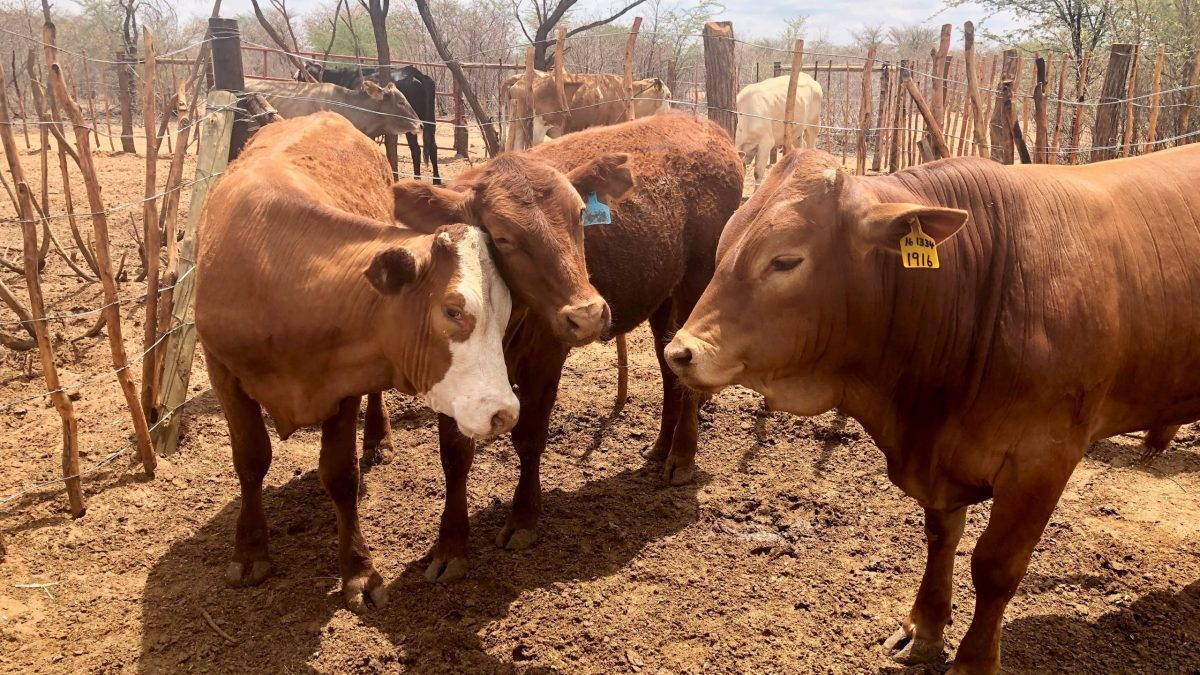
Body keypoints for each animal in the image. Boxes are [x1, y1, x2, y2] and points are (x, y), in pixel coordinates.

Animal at [195, 112, 519, 612]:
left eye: (505, 310)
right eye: (452, 310)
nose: (505, 412)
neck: (277, 279)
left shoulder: (342, 378)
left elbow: (340, 474)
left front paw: (358, 571)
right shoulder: (222, 370)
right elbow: (250, 459)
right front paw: (249, 552)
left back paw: (378, 439)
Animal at [299, 62, 442, 184]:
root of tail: (414, 72)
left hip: (412, 125)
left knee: (416, 150)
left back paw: (417, 179)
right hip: (430, 121)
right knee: (433, 147)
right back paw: (436, 179)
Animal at [390, 111, 743, 581]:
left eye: (579, 216)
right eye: (501, 237)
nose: (588, 314)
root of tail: (702, 124)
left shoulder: (544, 357)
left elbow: (529, 437)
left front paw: (523, 519)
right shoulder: (445, 369)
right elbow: (455, 454)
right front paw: (450, 547)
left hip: (696, 281)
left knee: (686, 371)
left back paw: (682, 457)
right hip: (662, 295)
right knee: (669, 363)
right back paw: (660, 448)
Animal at [664, 146, 1200, 672]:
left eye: (785, 260)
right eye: (723, 247)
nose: (680, 352)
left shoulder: (1044, 458)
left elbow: (995, 565)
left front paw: (974, 661)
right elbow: (942, 537)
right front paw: (923, 630)